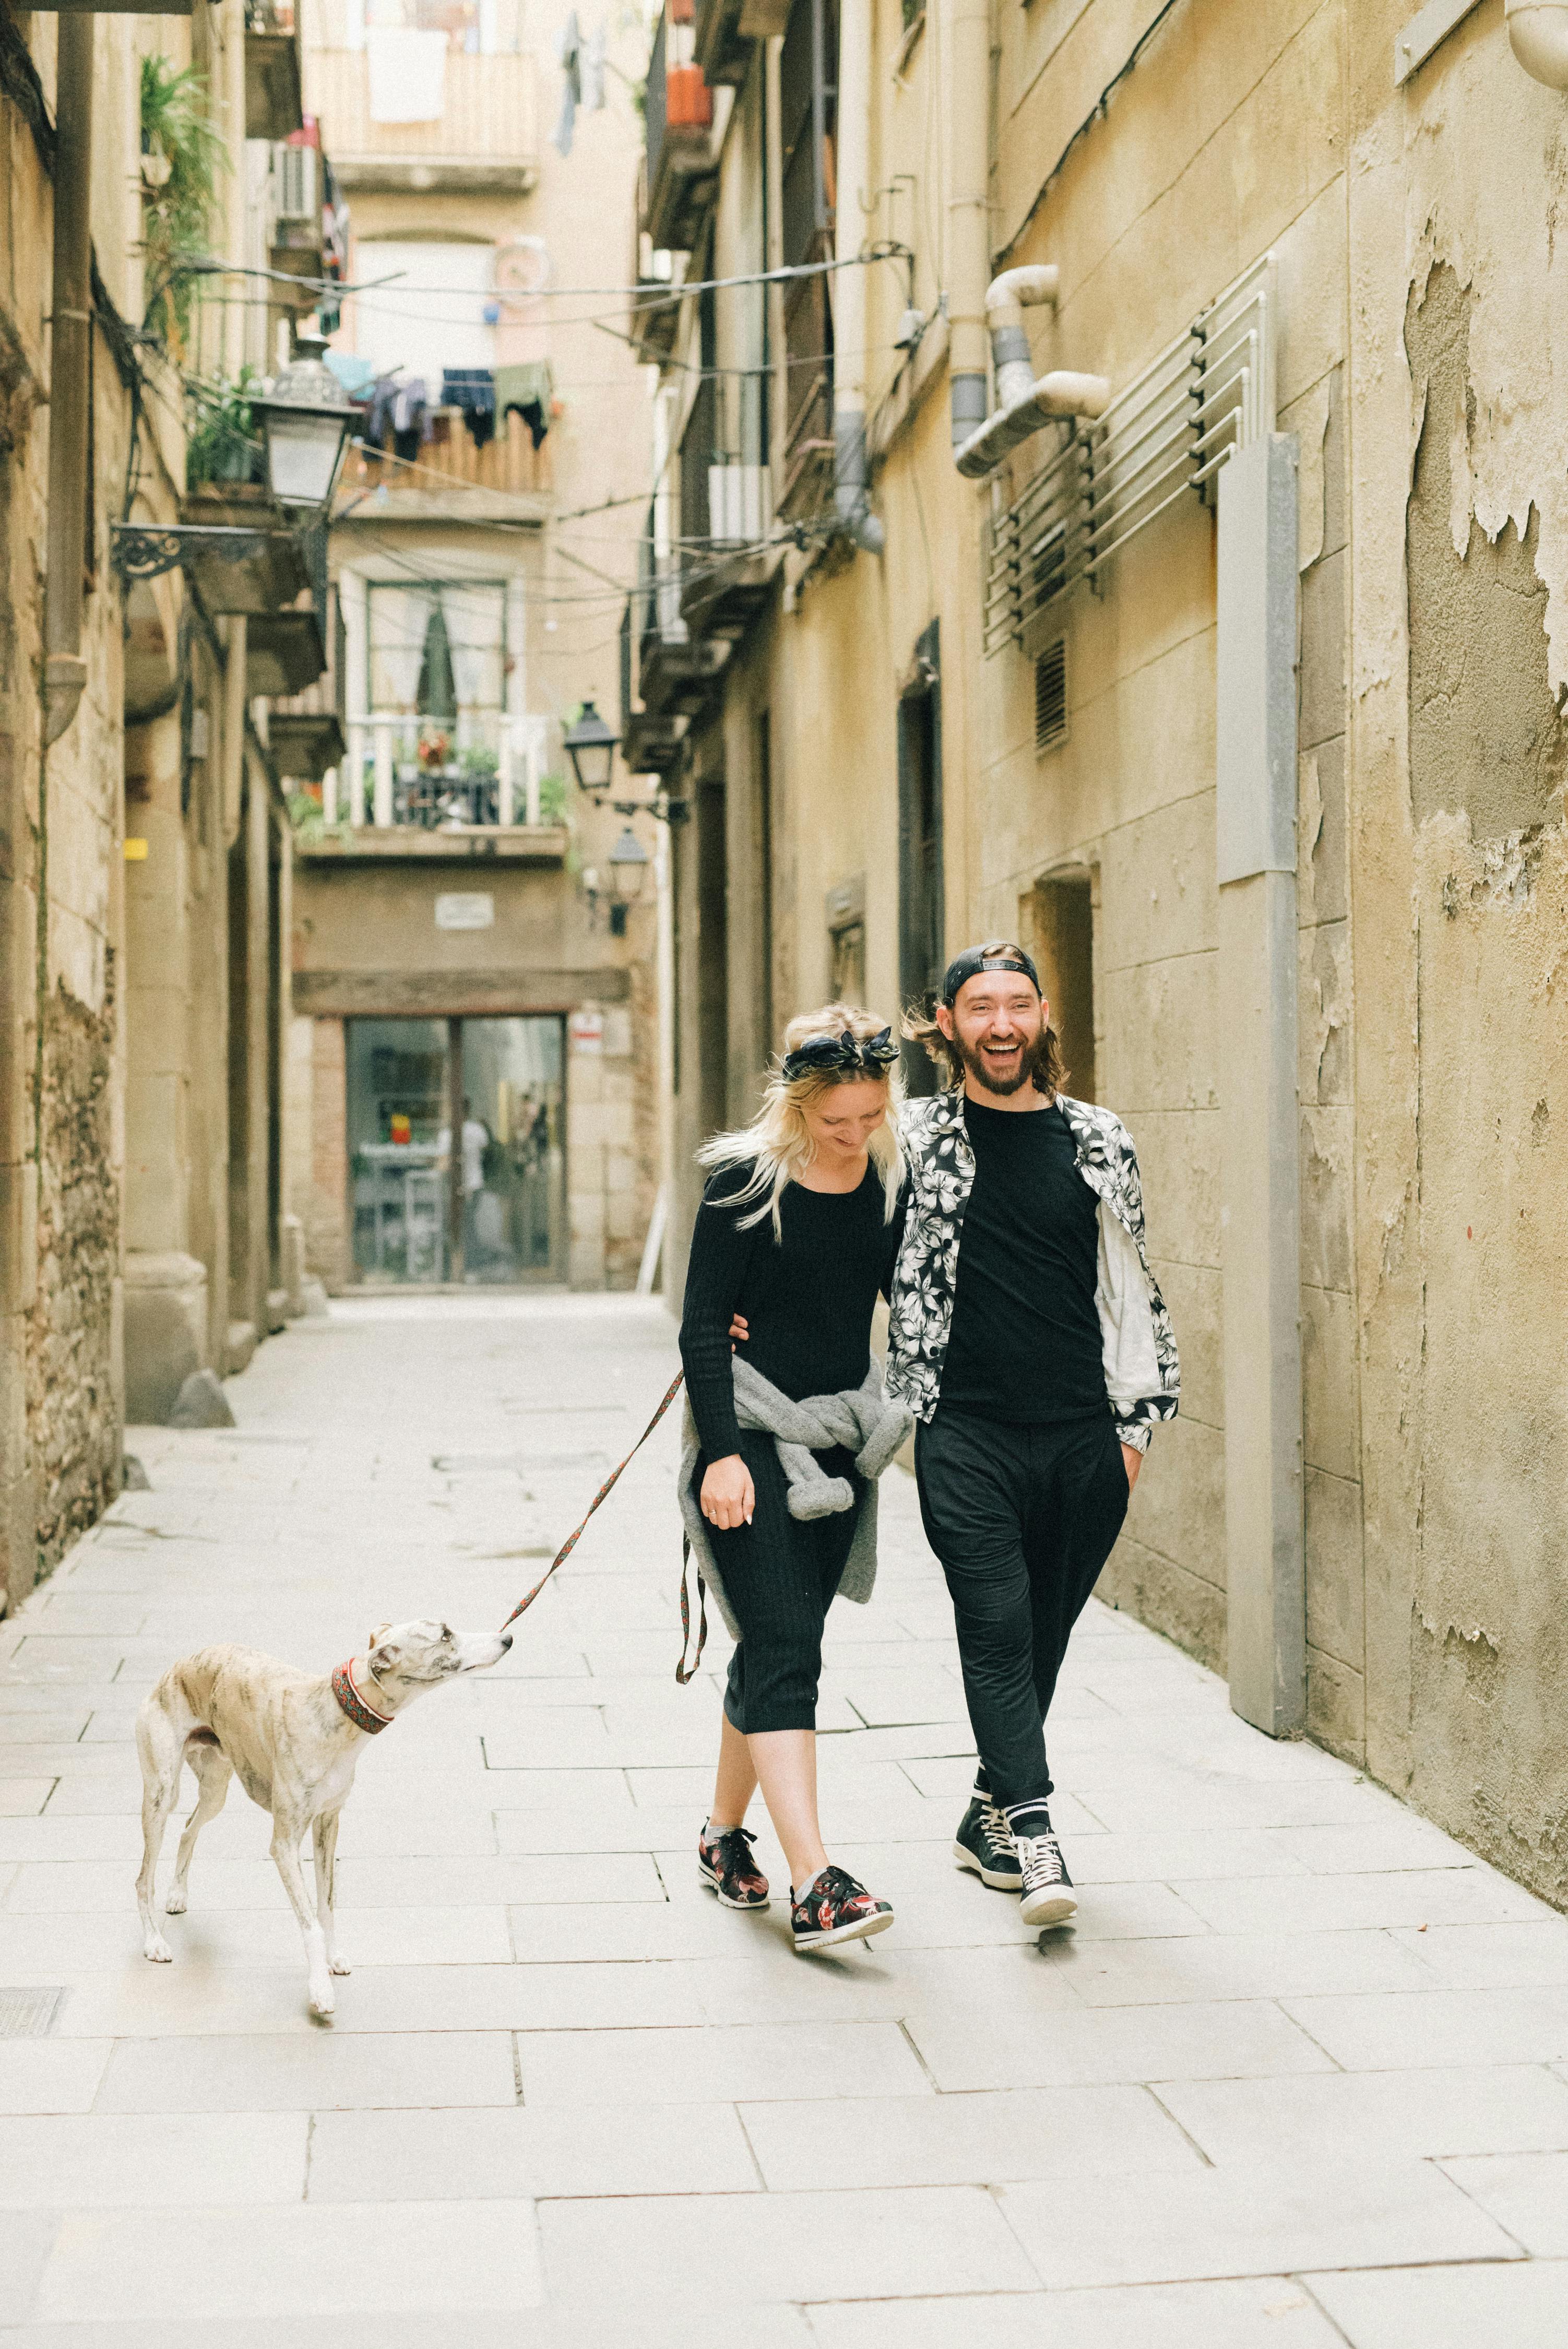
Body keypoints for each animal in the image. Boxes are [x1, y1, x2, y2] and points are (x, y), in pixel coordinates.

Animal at [135, 1616, 512, 2020]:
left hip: (215, 1788)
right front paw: (320, 1991)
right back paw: (154, 1941)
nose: (508, 1638)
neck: (332, 1715)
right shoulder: (284, 1842)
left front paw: (333, 1960)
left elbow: (327, 1906)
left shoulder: (328, 1822)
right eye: (444, 1635)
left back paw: (177, 1894)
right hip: (160, 1793)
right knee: (144, 1878)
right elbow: (311, 1925)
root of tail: (176, 1668)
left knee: (188, 1829)